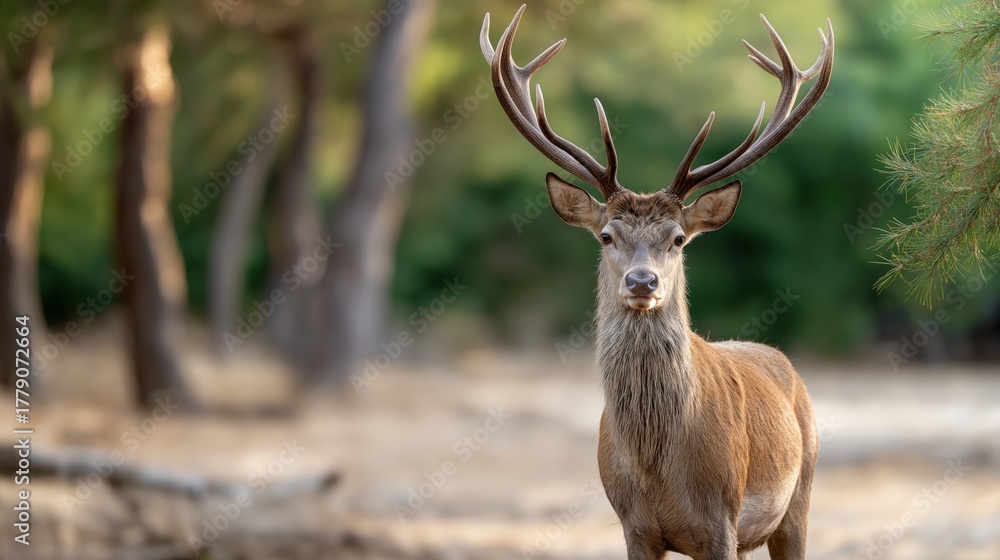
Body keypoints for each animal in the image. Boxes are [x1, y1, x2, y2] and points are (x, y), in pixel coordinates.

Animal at [481, 6, 833, 560]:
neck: (657, 468)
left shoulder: (721, 522)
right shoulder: (634, 524)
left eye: (678, 239)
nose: (642, 281)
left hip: (800, 492)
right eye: (606, 234)